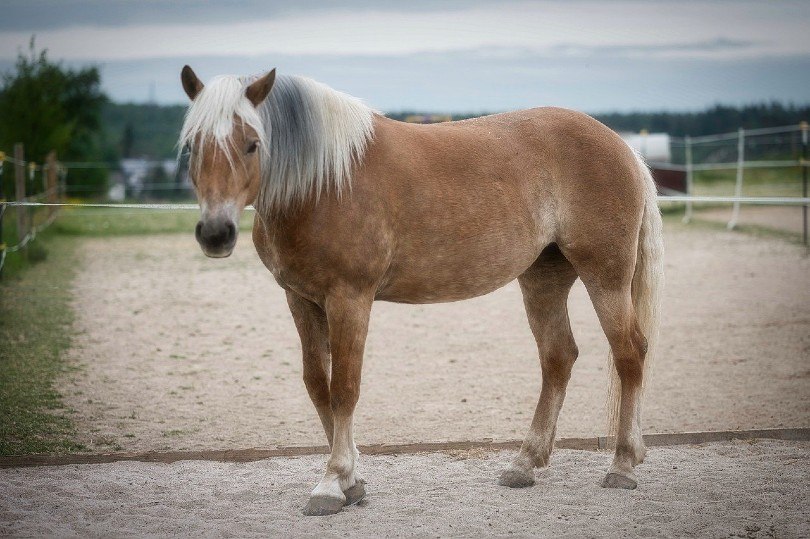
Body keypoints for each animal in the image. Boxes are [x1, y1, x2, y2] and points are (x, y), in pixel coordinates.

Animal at [178, 65, 664, 516]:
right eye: (193, 146)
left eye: (252, 143)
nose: (215, 233)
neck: (326, 181)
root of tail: (622, 146)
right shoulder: (300, 300)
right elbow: (318, 385)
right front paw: (352, 482)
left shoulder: (349, 299)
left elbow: (345, 388)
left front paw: (333, 482)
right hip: (543, 279)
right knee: (558, 357)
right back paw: (525, 463)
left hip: (605, 276)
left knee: (630, 352)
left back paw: (622, 464)